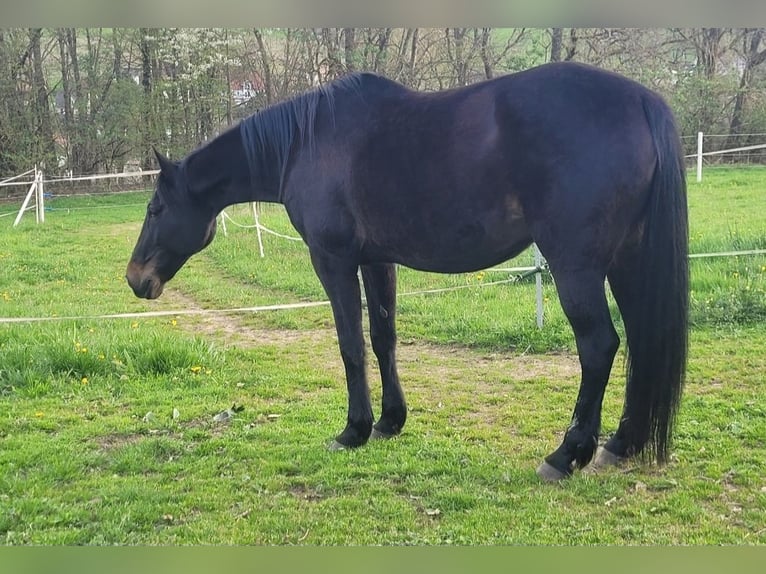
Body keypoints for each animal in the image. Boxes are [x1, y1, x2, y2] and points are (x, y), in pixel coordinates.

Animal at [127, 62, 688, 482]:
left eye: (155, 208)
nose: (136, 279)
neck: (306, 144)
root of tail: (642, 101)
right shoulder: (377, 260)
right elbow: (384, 338)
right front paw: (389, 422)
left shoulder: (332, 260)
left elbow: (350, 344)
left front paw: (353, 430)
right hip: (627, 261)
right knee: (642, 340)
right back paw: (621, 444)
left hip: (576, 267)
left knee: (599, 346)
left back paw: (566, 455)